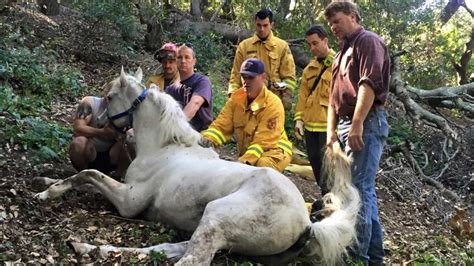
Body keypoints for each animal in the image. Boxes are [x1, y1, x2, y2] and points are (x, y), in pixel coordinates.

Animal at [34, 68, 360, 264]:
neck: (162, 148)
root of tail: (307, 223)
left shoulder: (129, 201)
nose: (94, 120)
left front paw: (46, 194)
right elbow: (85, 176)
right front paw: (45, 182)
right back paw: (88, 247)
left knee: (188, 259)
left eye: (111, 96)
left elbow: (88, 173)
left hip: (216, 218)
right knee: (167, 249)